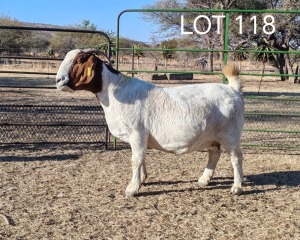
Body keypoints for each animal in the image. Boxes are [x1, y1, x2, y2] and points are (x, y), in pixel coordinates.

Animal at [55, 48, 244, 197]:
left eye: (80, 60)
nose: (58, 80)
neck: (116, 91)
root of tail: (232, 89)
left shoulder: (137, 132)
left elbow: (136, 159)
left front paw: (131, 189)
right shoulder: (139, 137)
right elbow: (141, 157)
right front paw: (142, 180)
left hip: (231, 134)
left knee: (236, 158)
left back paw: (237, 187)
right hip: (212, 135)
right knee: (214, 153)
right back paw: (204, 180)